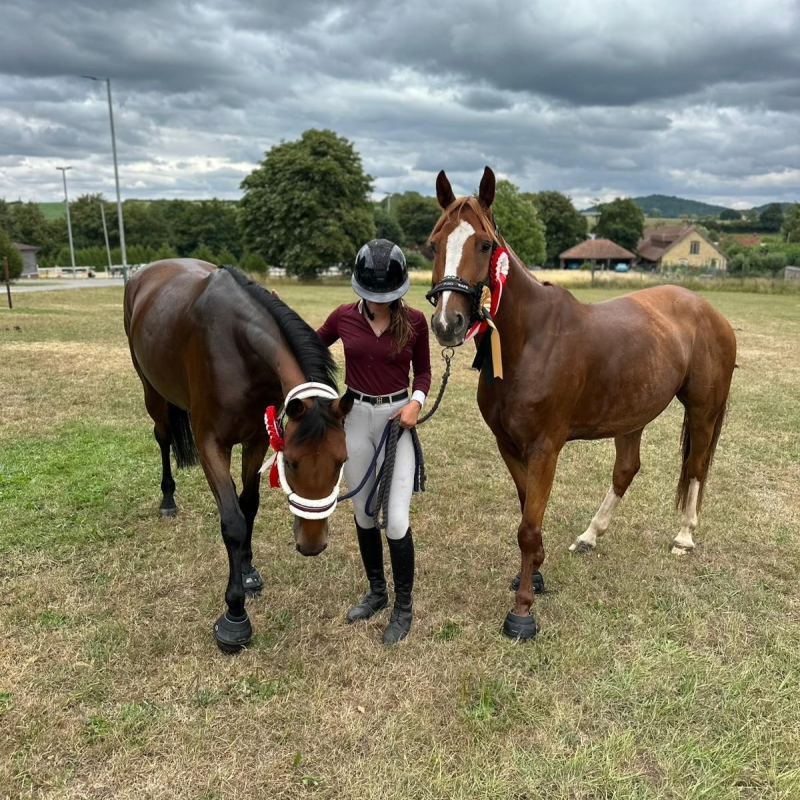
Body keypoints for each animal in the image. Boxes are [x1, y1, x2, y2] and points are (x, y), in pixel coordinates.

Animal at [124, 259, 353, 652]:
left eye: (342, 462)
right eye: (290, 462)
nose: (312, 544)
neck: (237, 346)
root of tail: (143, 272)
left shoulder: (257, 438)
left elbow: (248, 506)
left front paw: (247, 572)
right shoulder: (210, 444)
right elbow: (232, 521)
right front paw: (234, 615)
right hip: (151, 391)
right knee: (163, 437)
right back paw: (167, 499)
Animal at [426, 168, 737, 640]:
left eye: (484, 244)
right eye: (434, 243)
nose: (448, 323)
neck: (526, 341)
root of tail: (709, 311)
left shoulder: (544, 449)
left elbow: (528, 526)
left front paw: (523, 610)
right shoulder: (509, 446)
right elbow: (527, 513)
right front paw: (534, 574)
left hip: (703, 410)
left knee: (697, 466)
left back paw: (684, 537)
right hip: (632, 415)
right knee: (627, 470)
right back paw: (590, 535)